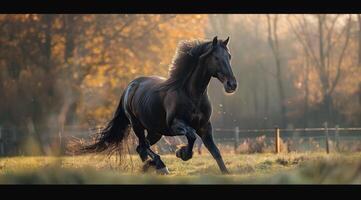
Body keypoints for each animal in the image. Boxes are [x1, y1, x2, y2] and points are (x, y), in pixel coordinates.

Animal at [83, 36, 238, 174]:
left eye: (229, 56)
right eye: (216, 58)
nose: (232, 84)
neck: (192, 95)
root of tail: (130, 86)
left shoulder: (205, 127)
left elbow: (215, 152)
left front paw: (225, 172)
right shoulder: (175, 124)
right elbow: (192, 136)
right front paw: (181, 153)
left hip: (156, 131)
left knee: (141, 148)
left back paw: (149, 165)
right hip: (137, 125)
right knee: (143, 145)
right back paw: (161, 166)